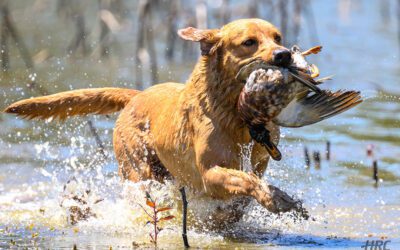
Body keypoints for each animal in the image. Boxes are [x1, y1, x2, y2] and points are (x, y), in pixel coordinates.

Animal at [4, 18, 304, 225]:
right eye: (249, 42)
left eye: (277, 37)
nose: (284, 54)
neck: (238, 117)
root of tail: (137, 95)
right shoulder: (209, 175)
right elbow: (246, 181)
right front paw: (274, 198)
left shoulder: (258, 163)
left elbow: (249, 181)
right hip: (139, 170)